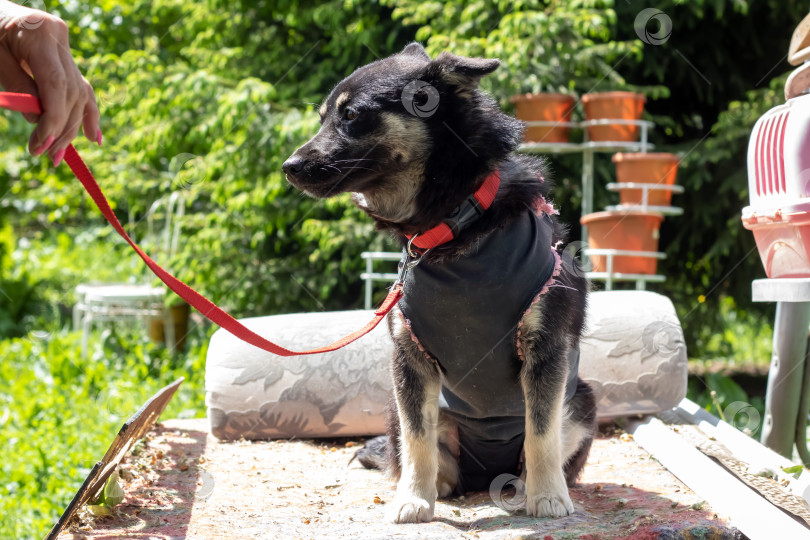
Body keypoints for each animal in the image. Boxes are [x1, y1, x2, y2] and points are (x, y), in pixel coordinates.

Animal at [282, 42, 592, 524]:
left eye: (350, 115)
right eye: (322, 118)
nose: (289, 167)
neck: (453, 227)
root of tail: (487, 478)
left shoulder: (548, 348)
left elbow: (541, 431)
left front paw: (548, 498)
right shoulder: (409, 359)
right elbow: (417, 441)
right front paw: (413, 500)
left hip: (582, 401)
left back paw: (524, 487)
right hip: (397, 409)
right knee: (426, 453)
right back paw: (439, 487)